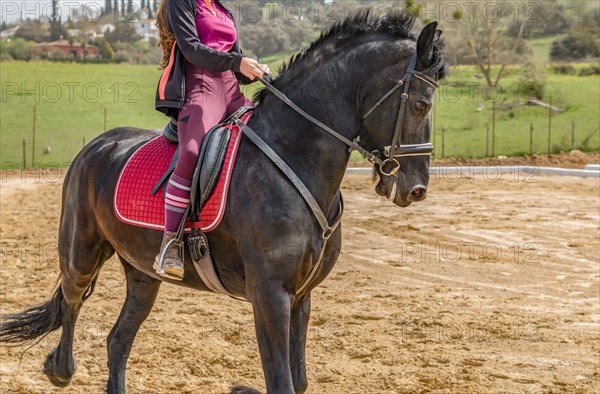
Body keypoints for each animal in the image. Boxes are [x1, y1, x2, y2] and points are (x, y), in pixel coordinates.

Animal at [1, 10, 446, 394]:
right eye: (421, 104)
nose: (416, 189)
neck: (294, 154)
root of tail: (98, 144)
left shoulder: (301, 296)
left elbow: (299, 381)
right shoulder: (270, 294)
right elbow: (282, 383)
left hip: (143, 274)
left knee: (118, 341)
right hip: (82, 252)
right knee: (72, 302)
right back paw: (60, 370)